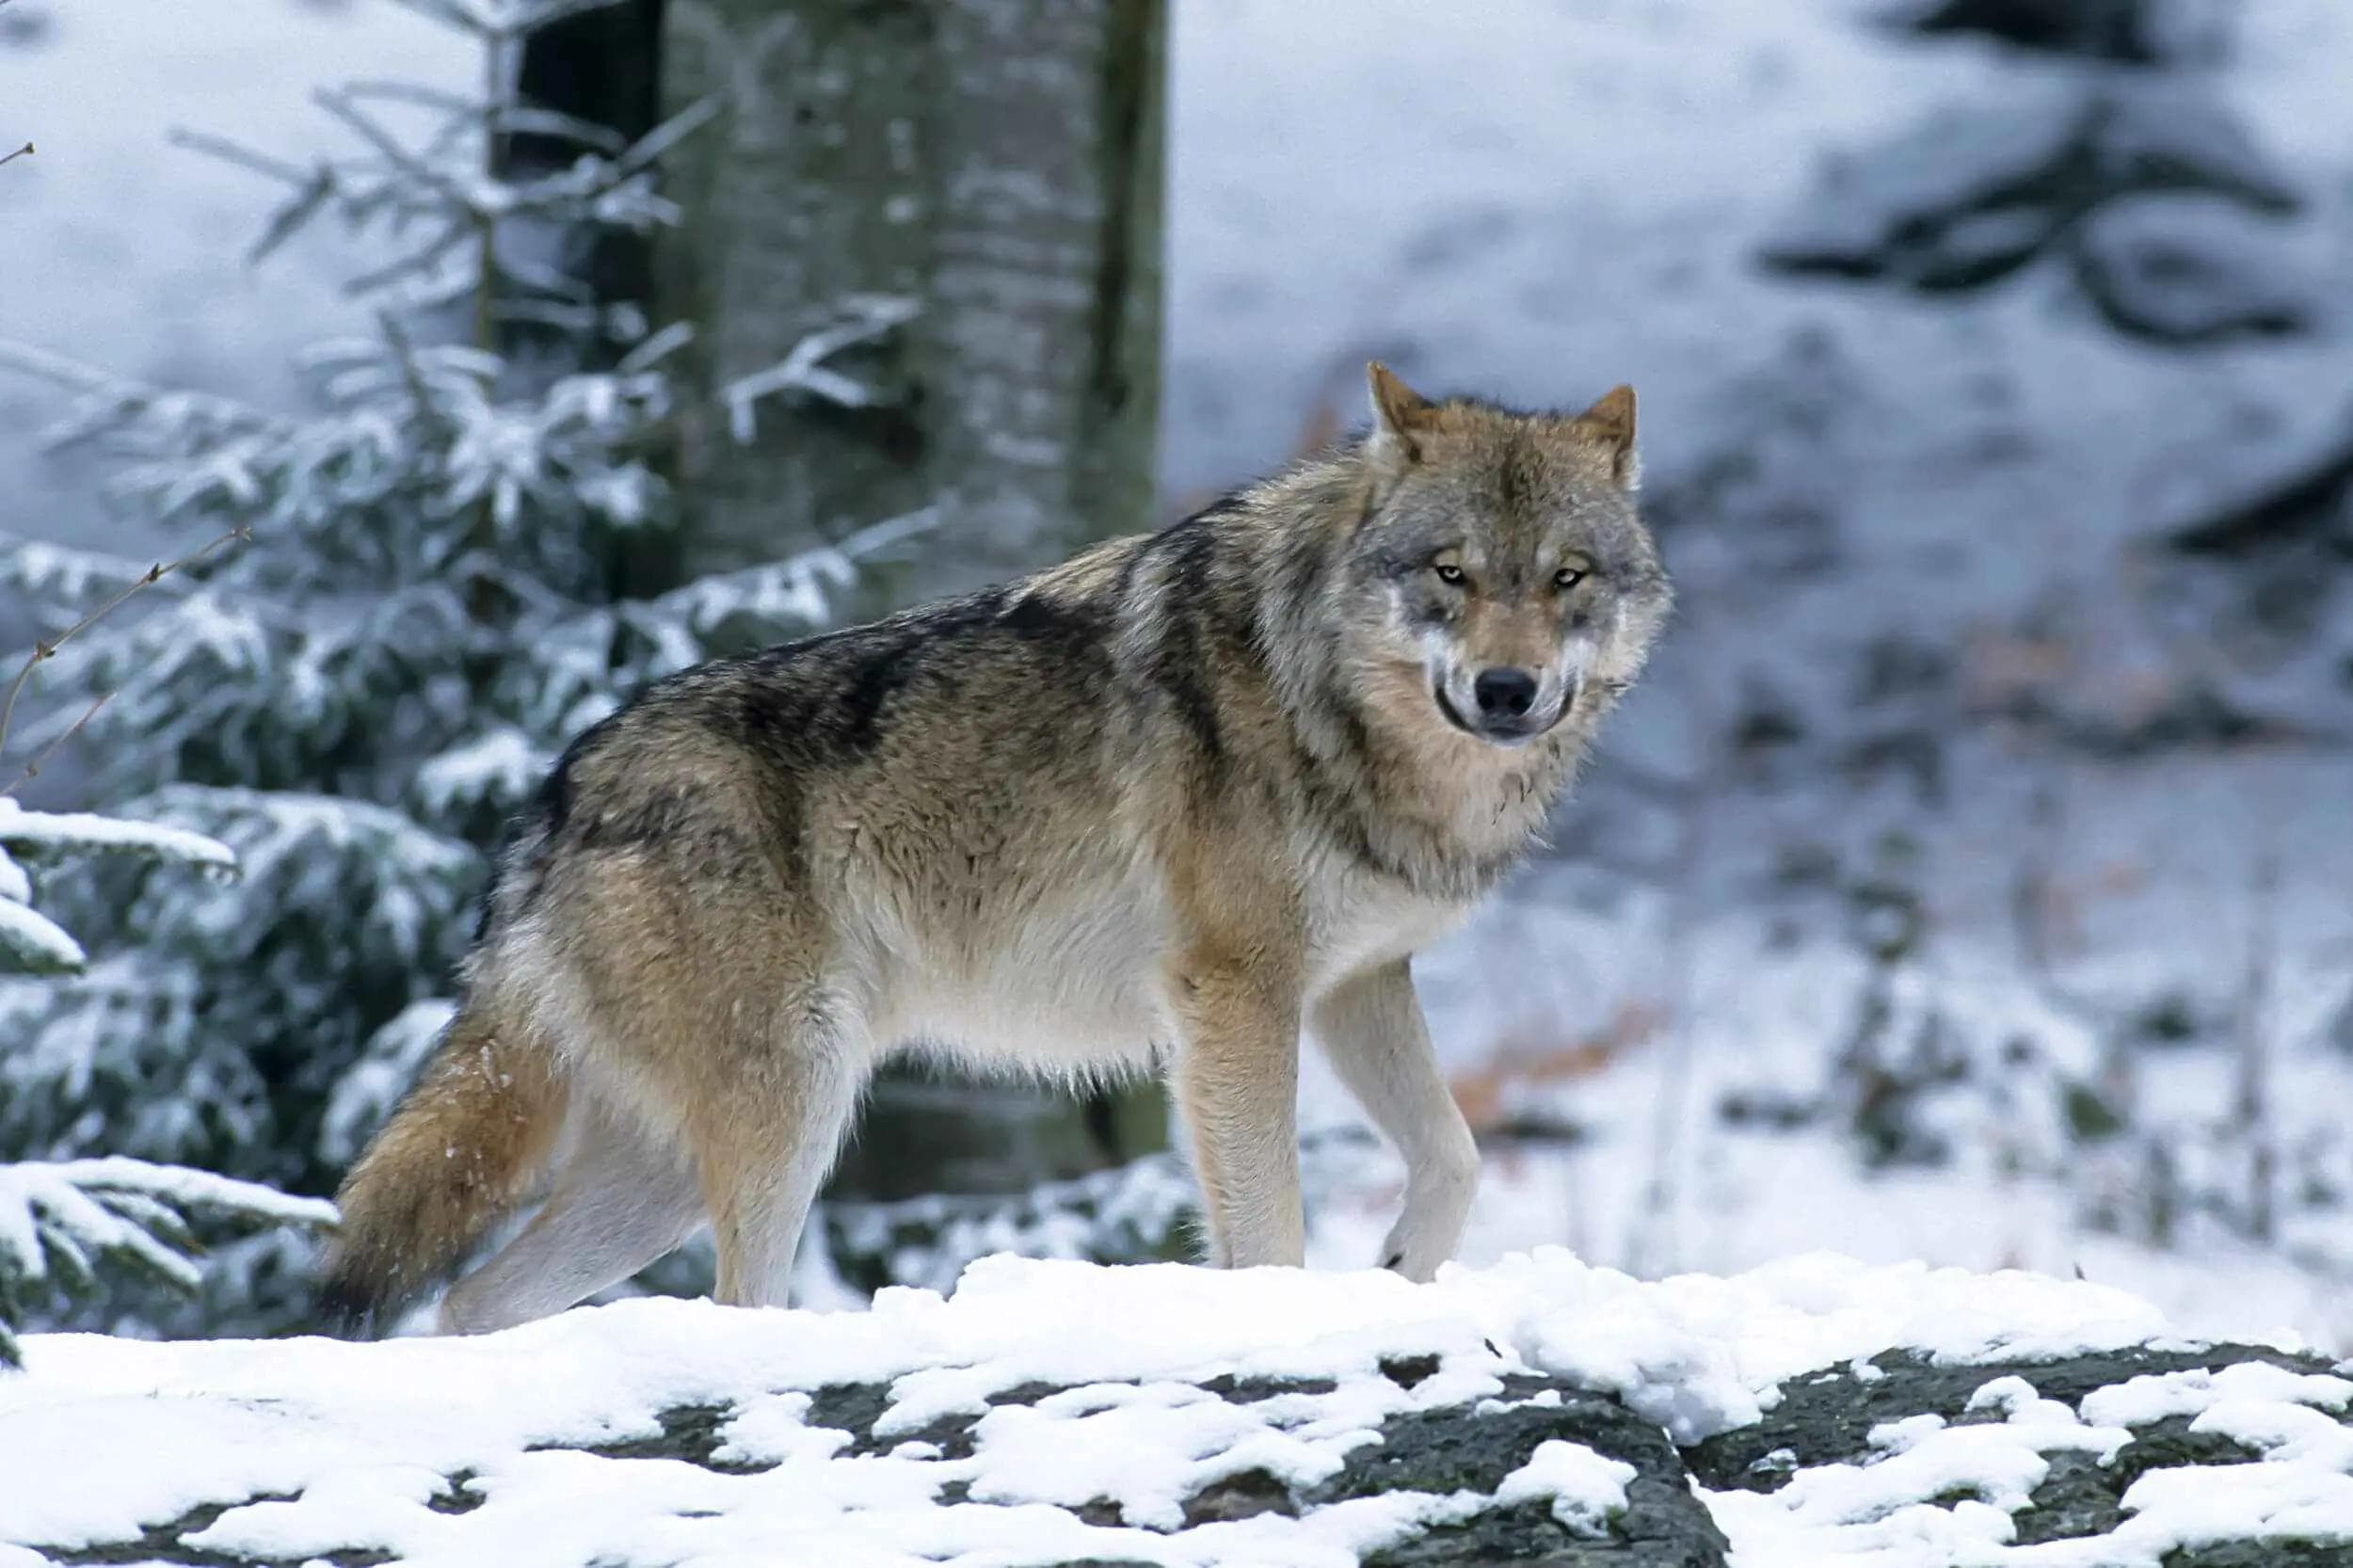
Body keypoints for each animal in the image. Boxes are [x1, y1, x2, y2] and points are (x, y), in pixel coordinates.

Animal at [319, 364, 1674, 1335]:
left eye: (1567, 578)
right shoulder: (1236, 992)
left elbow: (1456, 1155)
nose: (1507, 691)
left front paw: (1395, 1271)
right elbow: (1268, 1219)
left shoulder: (1353, 982)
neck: (1337, 707)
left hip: (663, 1169)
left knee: (470, 1299)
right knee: (730, 1299)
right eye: (1451, 574)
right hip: (790, 1109)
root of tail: (557, 796)